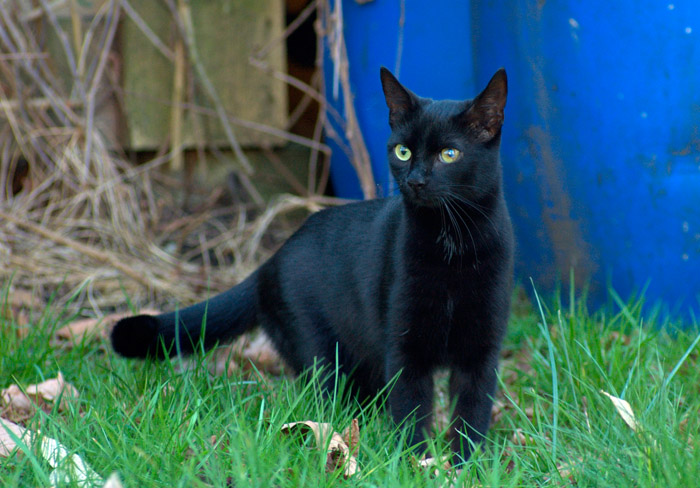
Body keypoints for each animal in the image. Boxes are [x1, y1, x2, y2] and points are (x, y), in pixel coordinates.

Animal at [110, 67, 516, 462]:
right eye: (403, 151)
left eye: (449, 154)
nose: (415, 180)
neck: (453, 246)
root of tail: (270, 262)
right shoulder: (405, 349)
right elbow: (411, 410)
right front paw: (415, 463)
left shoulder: (482, 353)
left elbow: (472, 414)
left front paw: (467, 465)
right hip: (322, 352)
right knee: (330, 400)